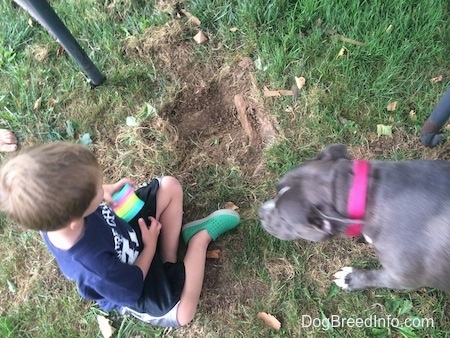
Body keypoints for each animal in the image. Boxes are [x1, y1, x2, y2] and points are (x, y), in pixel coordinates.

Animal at [258, 143, 450, 290]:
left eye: (283, 218)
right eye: (276, 190)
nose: (260, 212)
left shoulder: (402, 277)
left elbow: (376, 277)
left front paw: (350, 279)